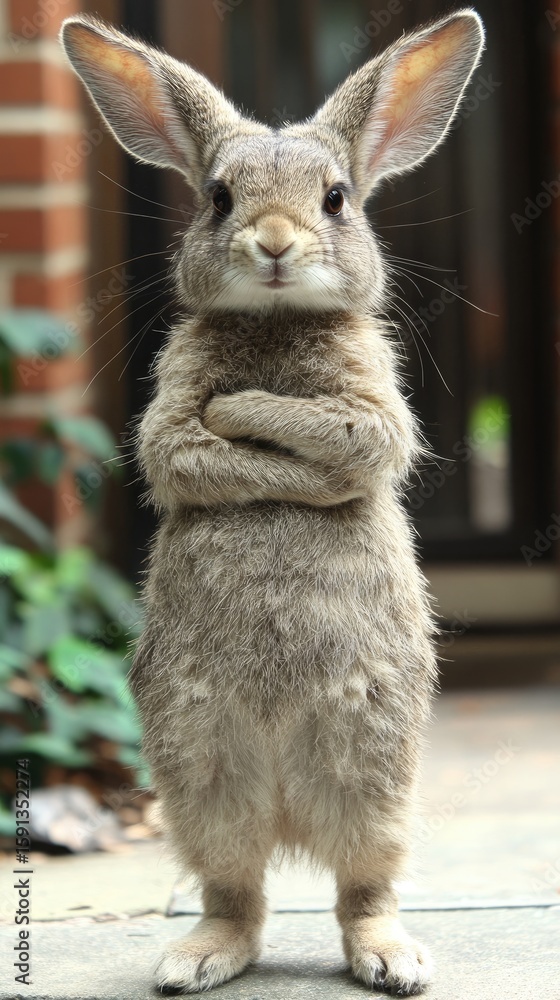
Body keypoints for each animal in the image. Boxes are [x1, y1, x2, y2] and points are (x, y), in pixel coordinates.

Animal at [61, 9, 484, 996]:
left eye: (335, 198)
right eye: (219, 197)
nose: (277, 241)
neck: (277, 322)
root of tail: (291, 812)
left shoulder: (374, 414)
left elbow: (345, 447)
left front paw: (251, 413)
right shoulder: (169, 419)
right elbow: (184, 449)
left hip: (375, 771)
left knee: (362, 885)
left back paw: (391, 959)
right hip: (201, 775)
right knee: (238, 891)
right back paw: (194, 960)